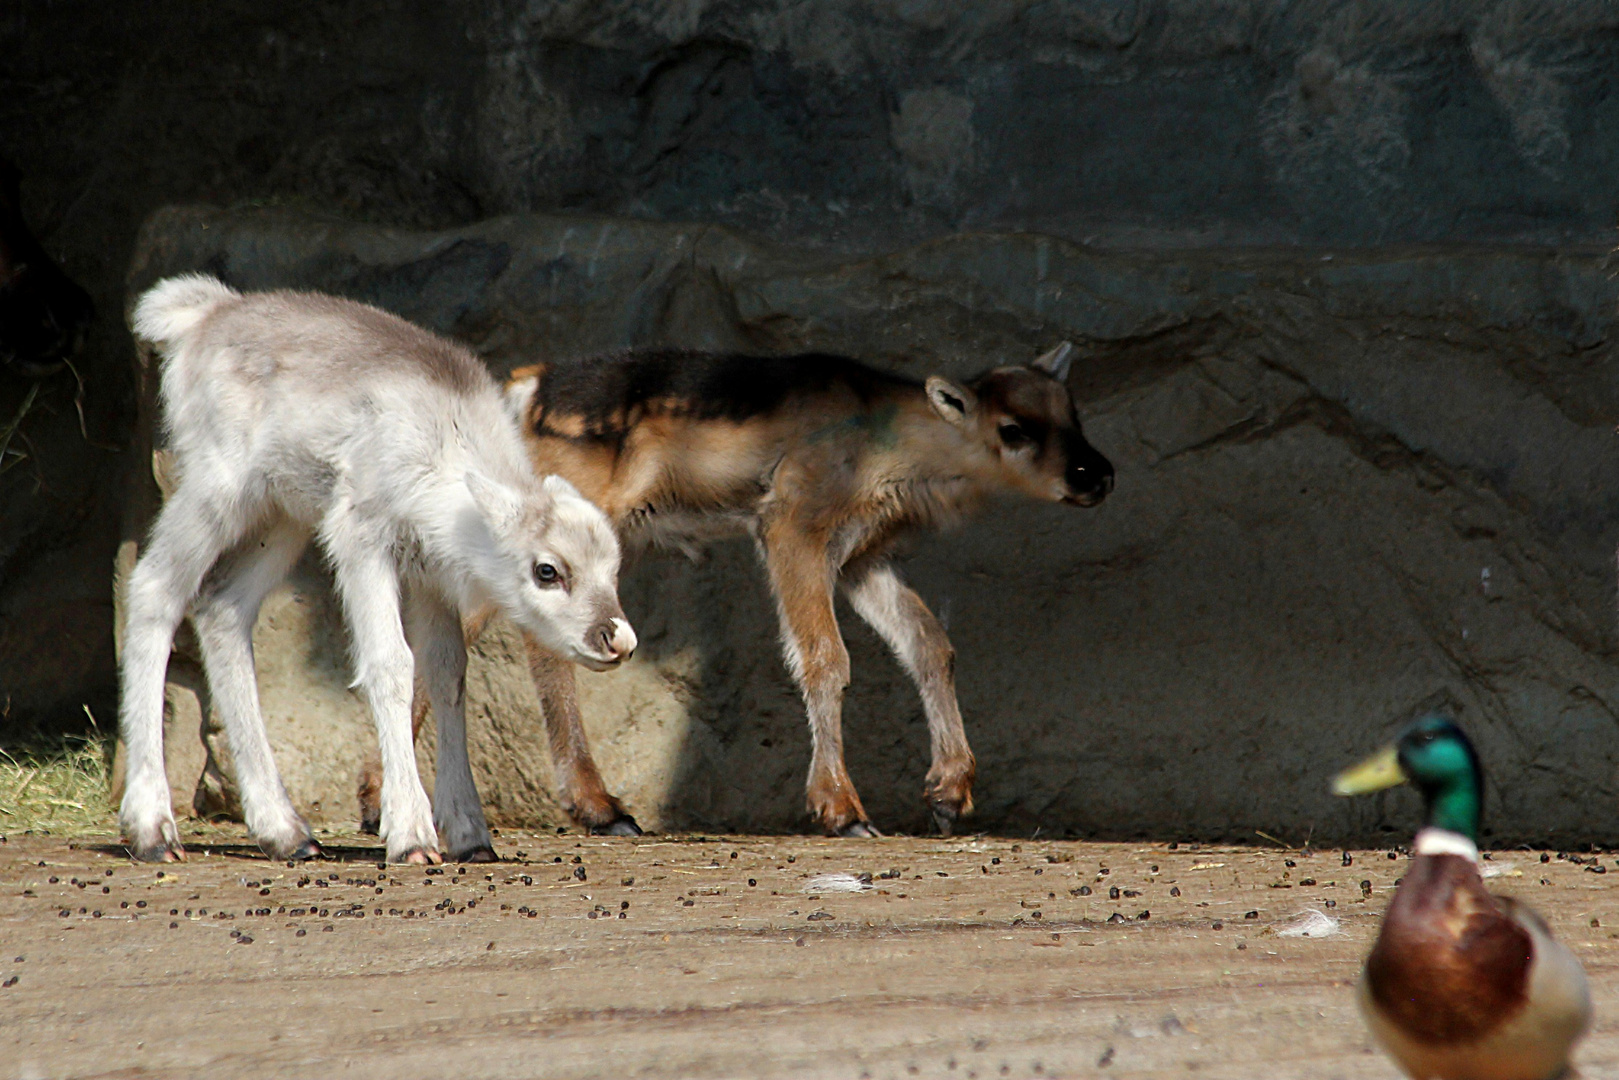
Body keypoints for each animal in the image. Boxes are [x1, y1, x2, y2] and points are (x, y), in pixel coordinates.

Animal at [123, 275, 631, 867]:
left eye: (614, 567)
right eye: (548, 570)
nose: (617, 638)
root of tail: (201, 315)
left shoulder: (433, 574)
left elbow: (449, 673)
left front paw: (470, 834)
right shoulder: (361, 537)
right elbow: (392, 664)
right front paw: (411, 833)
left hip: (285, 514)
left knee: (222, 608)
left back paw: (286, 832)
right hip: (216, 484)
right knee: (154, 587)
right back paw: (153, 830)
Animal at [361, 341, 1113, 841]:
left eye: (1073, 411)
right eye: (1012, 429)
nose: (1096, 474)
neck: (893, 455)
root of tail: (519, 391)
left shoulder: (860, 555)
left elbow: (929, 640)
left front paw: (950, 794)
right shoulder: (790, 521)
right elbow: (824, 657)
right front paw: (841, 810)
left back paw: (375, 803)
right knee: (540, 643)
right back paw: (604, 809)